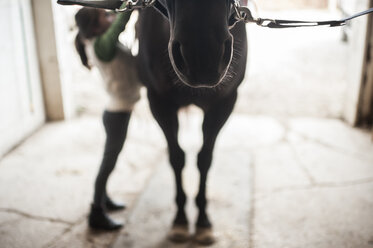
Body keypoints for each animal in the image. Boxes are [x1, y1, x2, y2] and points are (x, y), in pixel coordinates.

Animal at [136, 0, 247, 244]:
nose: (202, 58)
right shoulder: (159, 102)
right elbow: (176, 158)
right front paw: (179, 219)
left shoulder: (223, 104)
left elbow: (204, 159)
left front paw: (204, 221)